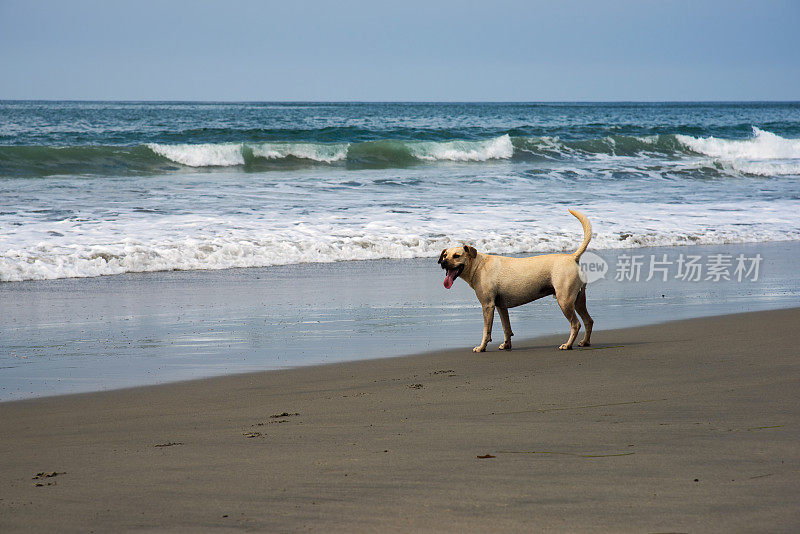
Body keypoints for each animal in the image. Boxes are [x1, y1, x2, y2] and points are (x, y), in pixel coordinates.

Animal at [440, 211, 592, 354]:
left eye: (457, 256)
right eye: (445, 255)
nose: (443, 262)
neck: (478, 265)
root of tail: (572, 257)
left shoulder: (488, 305)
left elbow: (486, 330)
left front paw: (481, 347)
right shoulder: (501, 306)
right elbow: (506, 327)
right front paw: (506, 345)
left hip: (564, 300)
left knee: (576, 324)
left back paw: (567, 345)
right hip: (578, 300)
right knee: (588, 321)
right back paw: (585, 342)